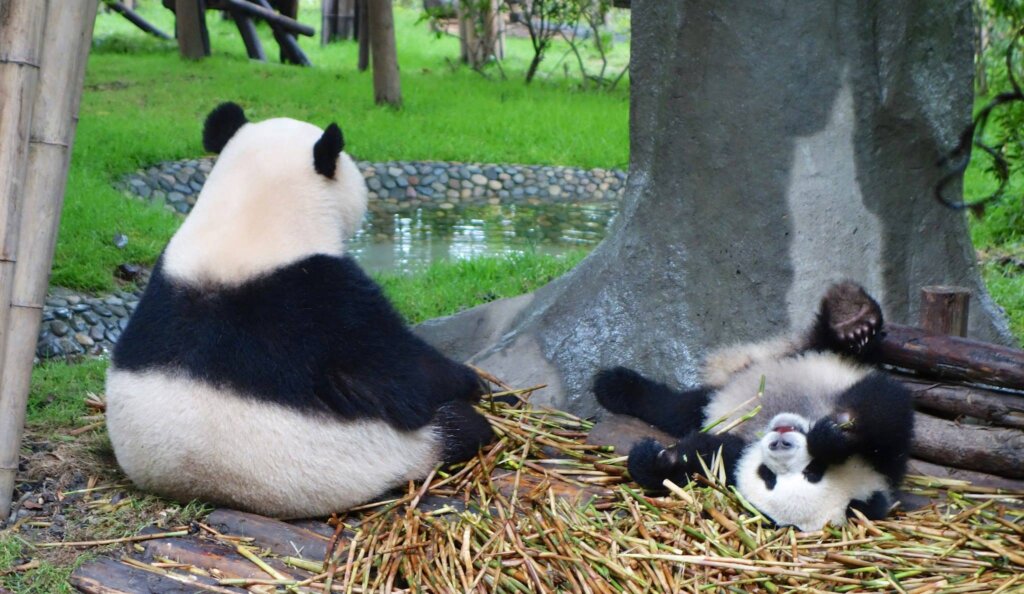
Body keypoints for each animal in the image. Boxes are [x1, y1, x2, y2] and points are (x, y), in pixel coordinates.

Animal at [102, 103, 491, 520]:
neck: (250, 211)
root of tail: (212, 489)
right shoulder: (328, 299)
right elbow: (402, 374)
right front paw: (472, 381)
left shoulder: (165, 280)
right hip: (379, 455)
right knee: (452, 429)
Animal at [593, 282, 913, 528]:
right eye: (768, 476)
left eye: (811, 472)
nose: (780, 438)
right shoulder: (884, 449)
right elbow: (886, 410)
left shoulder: (731, 456)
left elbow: (703, 458)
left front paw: (656, 459)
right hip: (813, 359)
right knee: (829, 342)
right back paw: (852, 316)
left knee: (678, 408)